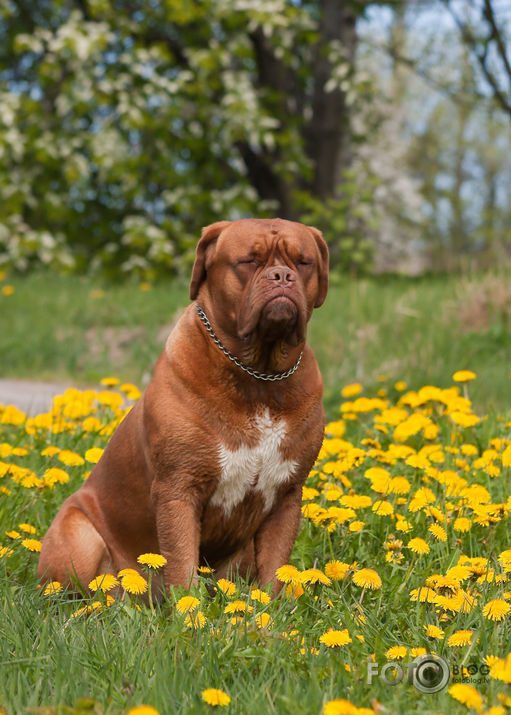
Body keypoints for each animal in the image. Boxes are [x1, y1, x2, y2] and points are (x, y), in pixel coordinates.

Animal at [39, 218, 328, 600]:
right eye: (248, 261)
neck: (259, 377)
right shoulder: (178, 490)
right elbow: (181, 562)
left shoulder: (286, 496)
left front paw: (270, 611)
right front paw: (189, 610)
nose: (282, 275)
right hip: (78, 535)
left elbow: (275, 569)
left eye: (304, 262)